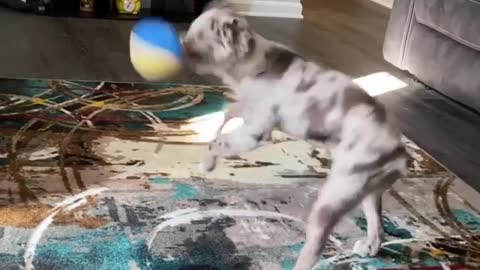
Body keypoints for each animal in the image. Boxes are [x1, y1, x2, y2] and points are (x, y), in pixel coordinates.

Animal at [182, 1, 406, 268]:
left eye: (198, 39)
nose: (180, 47)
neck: (253, 63)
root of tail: (399, 152)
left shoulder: (256, 132)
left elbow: (217, 142)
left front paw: (207, 163)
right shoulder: (246, 111)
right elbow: (226, 115)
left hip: (334, 199)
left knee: (314, 248)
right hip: (369, 193)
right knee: (377, 227)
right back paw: (368, 247)